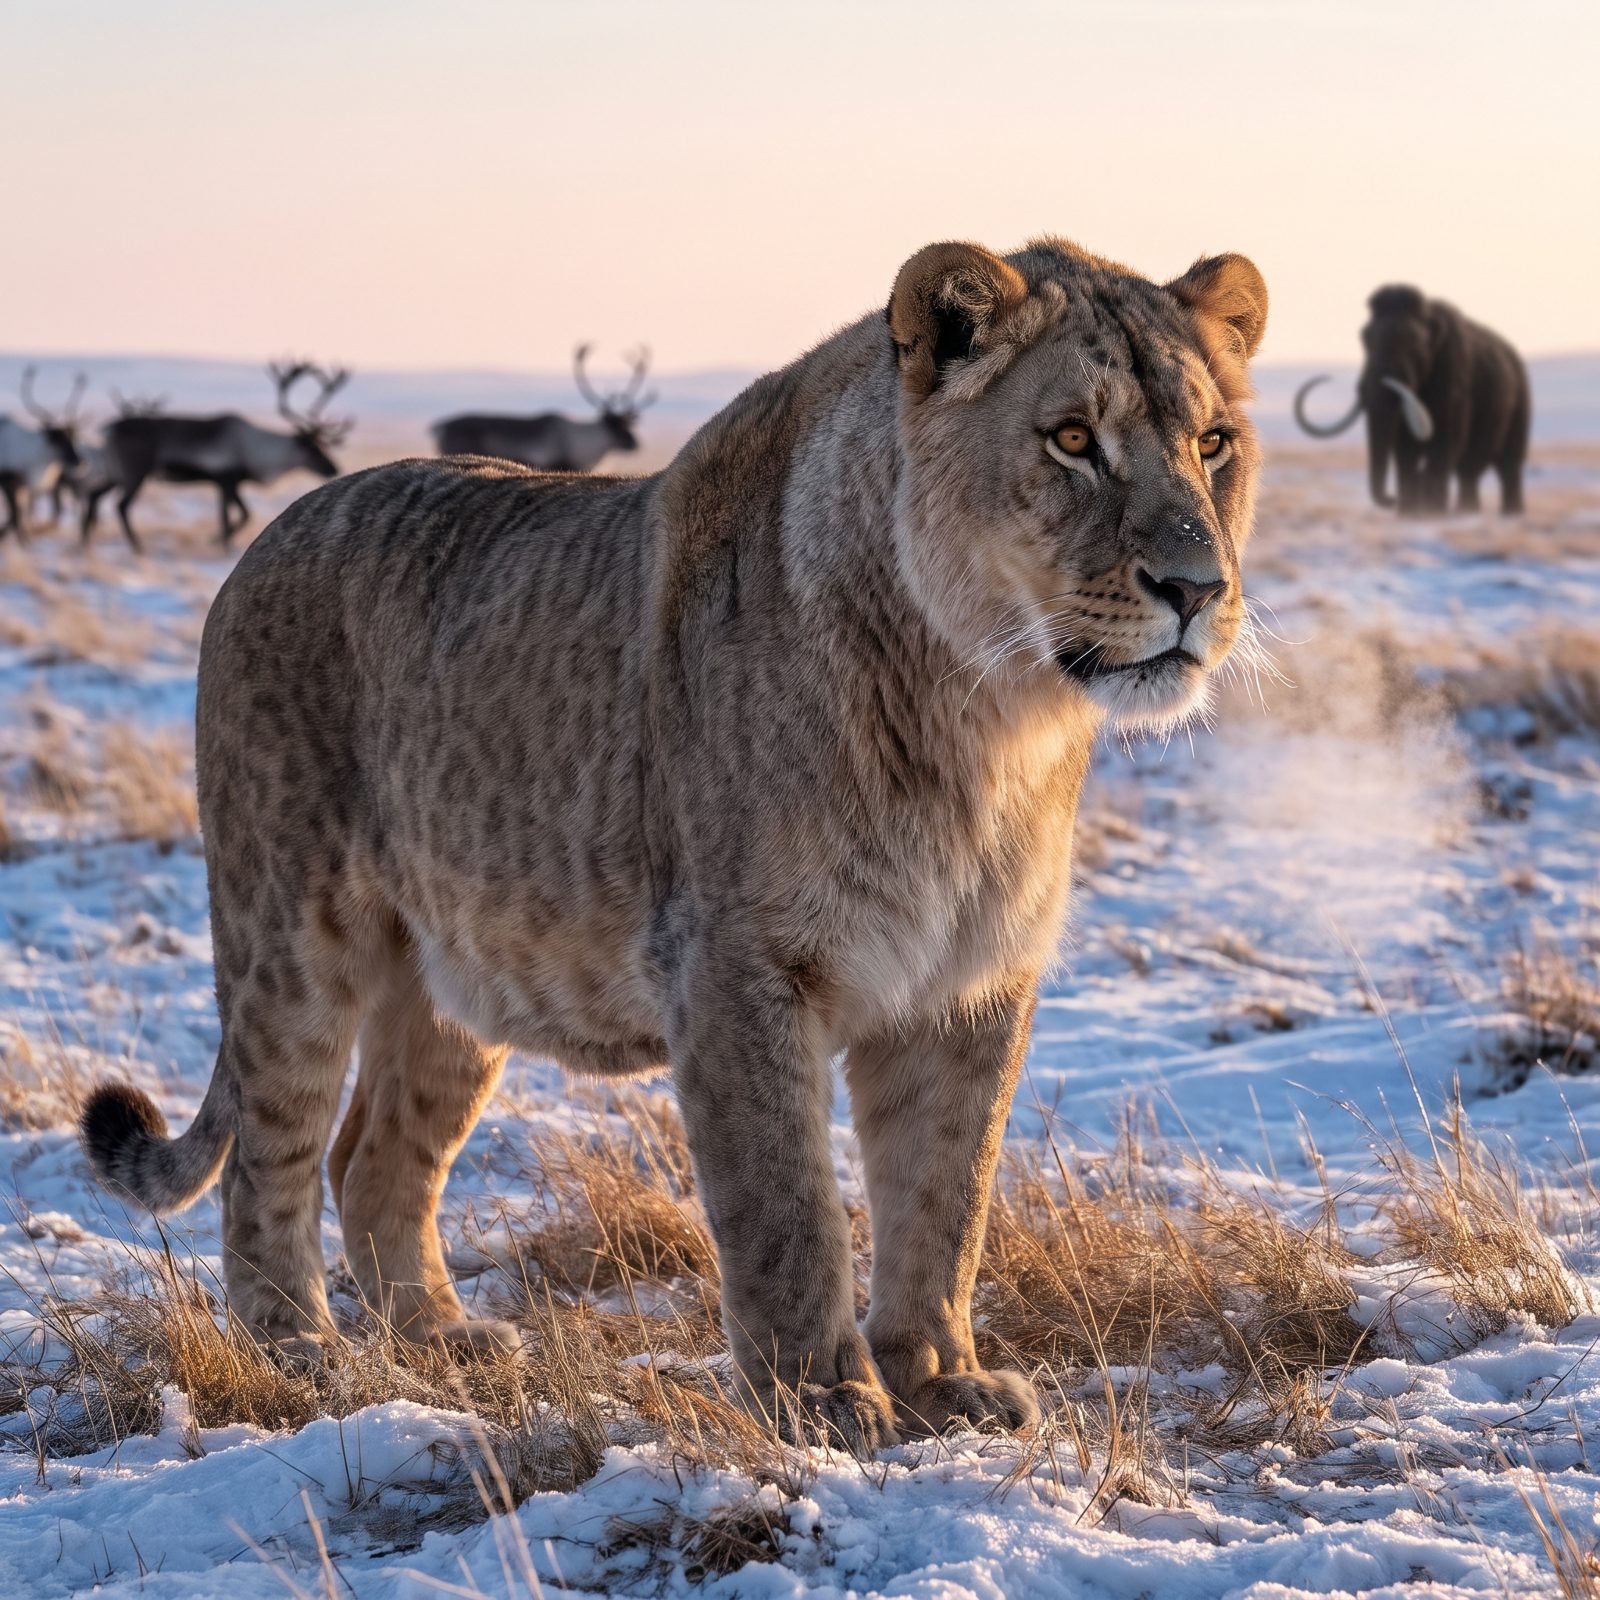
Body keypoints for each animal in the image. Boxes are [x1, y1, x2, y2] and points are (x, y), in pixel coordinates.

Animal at [81, 235, 1267, 1455]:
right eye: (1072, 439)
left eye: (1212, 444)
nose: (1197, 588)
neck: (982, 715)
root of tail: (275, 528)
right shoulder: (737, 962)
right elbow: (786, 1203)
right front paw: (820, 1399)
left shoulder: (973, 983)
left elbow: (948, 1194)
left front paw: (942, 1380)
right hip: (292, 931)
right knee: (268, 1153)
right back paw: (297, 1350)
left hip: (463, 969)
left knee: (375, 1157)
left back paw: (443, 1338)